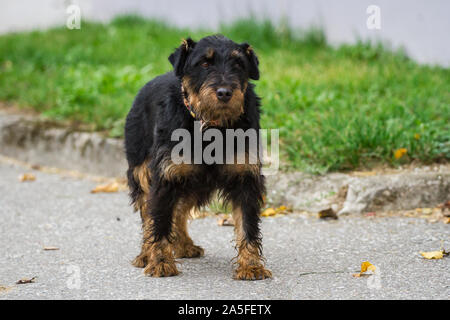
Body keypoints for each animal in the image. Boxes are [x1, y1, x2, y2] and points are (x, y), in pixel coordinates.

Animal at [124, 35, 270, 280]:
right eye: (204, 63)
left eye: (238, 64)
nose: (224, 92)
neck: (212, 126)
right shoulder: (165, 178)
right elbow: (159, 220)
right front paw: (160, 262)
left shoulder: (245, 179)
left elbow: (247, 224)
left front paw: (251, 265)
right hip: (142, 173)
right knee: (148, 213)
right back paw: (146, 253)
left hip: (195, 184)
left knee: (180, 211)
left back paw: (183, 245)